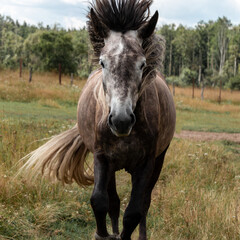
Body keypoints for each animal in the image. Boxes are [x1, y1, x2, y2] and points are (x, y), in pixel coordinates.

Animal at [20, 0, 175, 240]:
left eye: (142, 64)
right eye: (102, 62)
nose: (121, 120)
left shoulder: (147, 163)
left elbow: (134, 211)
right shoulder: (102, 157)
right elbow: (100, 202)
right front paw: (103, 235)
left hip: (157, 161)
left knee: (144, 204)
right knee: (114, 203)